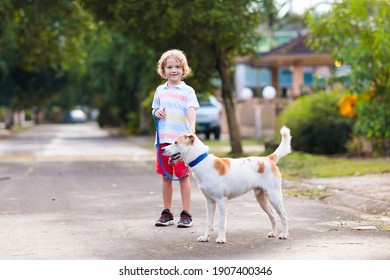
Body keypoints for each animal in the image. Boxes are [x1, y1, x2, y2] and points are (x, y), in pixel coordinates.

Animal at [162, 126, 292, 242]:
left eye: (176, 142)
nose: (162, 150)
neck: (202, 161)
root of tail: (269, 159)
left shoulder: (221, 201)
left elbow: (220, 223)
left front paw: (221, 239)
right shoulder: (210, 202)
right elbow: (209, 223)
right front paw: (205, 238)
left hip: (274, 196)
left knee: (284, 215)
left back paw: (284, 235)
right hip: (261, 198)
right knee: (273, 215)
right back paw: (274, 233)